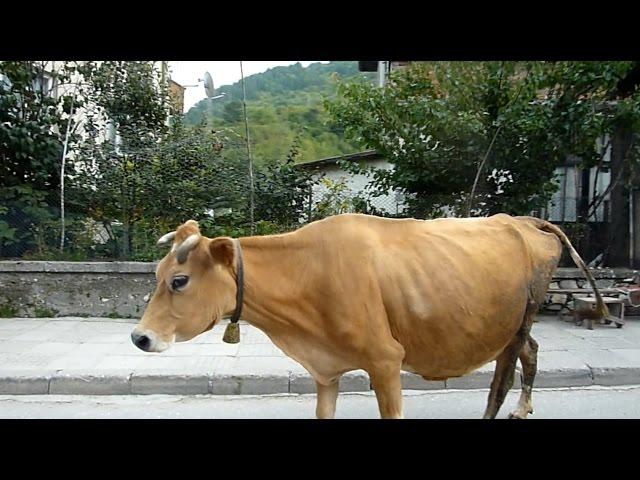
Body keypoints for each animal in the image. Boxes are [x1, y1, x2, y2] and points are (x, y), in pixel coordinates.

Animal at [130, 212, 616, 418]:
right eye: (156, 274)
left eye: (179, 281)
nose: (139, 338)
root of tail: (523, 219)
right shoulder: (325, 369)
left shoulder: (385, 361)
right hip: (511, 326)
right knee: (532, 352)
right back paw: (523, 409)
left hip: (518, 322)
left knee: (501, 381)